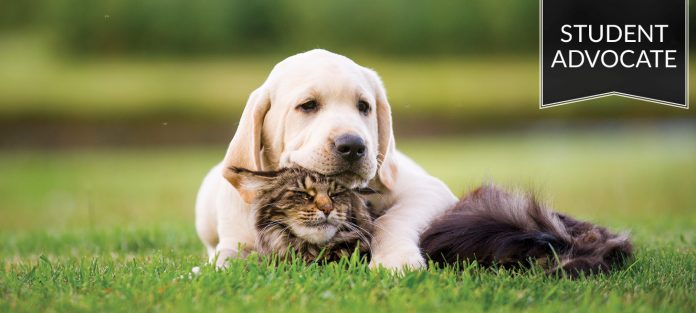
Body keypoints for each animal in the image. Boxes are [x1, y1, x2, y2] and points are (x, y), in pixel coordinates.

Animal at [194, 48, 456, 268]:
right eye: (308, 105)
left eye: (364, 107)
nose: (353, 145)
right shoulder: (236, 240)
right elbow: (226, 259)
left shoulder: (429, 190)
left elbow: (392, 219)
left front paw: (396, 259)